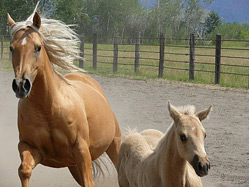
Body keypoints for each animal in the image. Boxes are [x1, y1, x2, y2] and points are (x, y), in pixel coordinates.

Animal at [7, 6, 120, 186]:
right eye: (12, 48)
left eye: (38, 47)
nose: (21, 85)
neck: (48, 110)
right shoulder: (29, 147)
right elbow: (24, 170)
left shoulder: (81, 150)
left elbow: (89, 181)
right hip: (73, 166)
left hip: (114, 144)